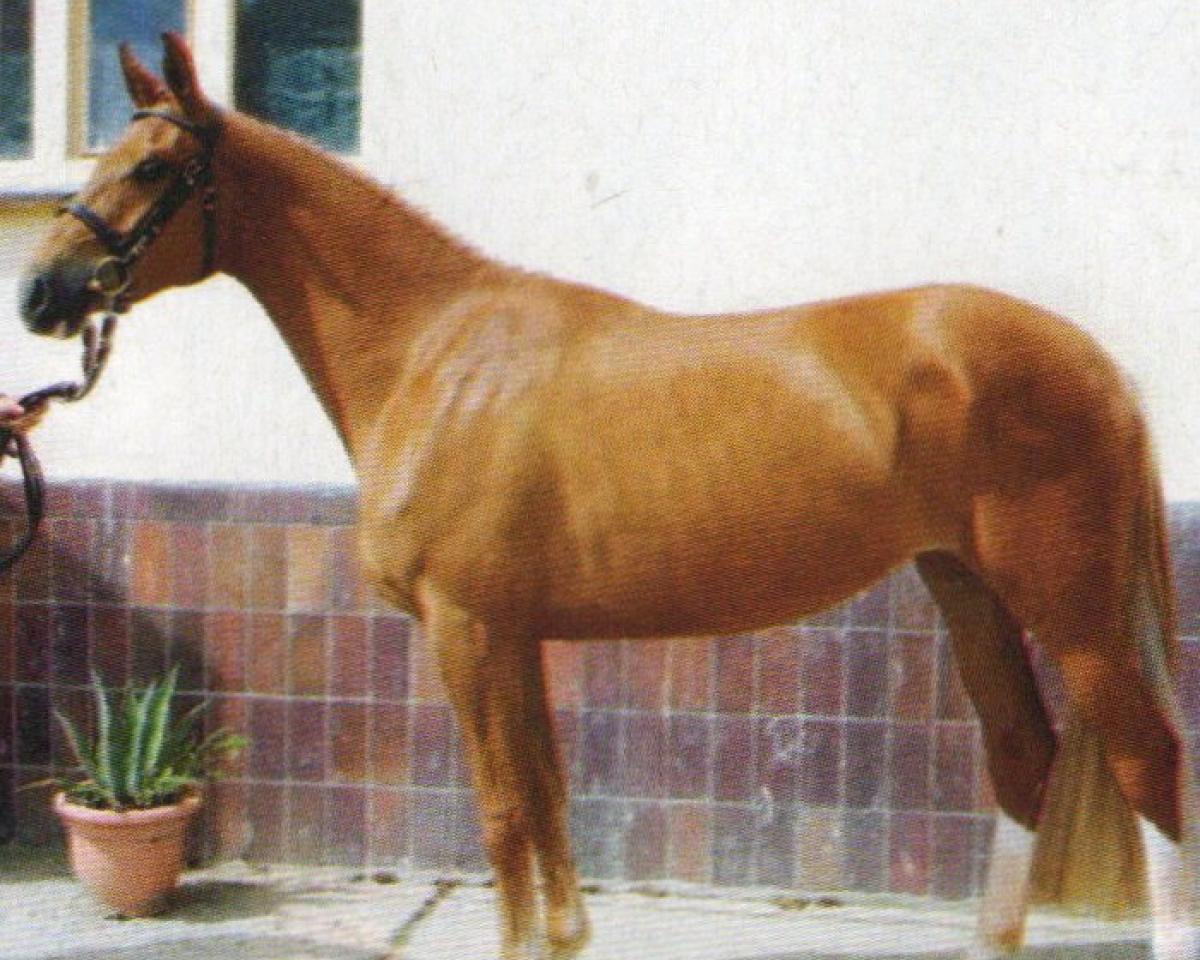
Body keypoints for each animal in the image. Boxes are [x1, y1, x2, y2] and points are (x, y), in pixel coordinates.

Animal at [18, 33, 1196, 960]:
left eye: (155, 166)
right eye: (109, 155)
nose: (40, 292)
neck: (434, 351)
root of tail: (1098, 363)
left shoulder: (467, 628)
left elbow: (503, 814)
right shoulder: (516, 635)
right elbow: (547, 806)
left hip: (1072, 609)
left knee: (1151, 764)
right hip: (968, 590)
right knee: (1024, 758)